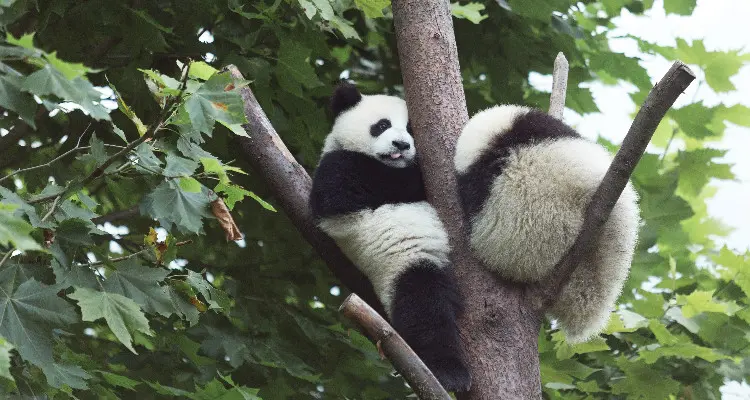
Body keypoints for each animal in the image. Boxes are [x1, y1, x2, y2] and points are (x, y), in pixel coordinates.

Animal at [310, 82, 470, 390]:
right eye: (382, 125)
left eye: (411, 129)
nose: (402, 145)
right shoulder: (336, 167)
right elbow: (340, 193)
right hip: (401, 265)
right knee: (423, 305)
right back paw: (449, 373)